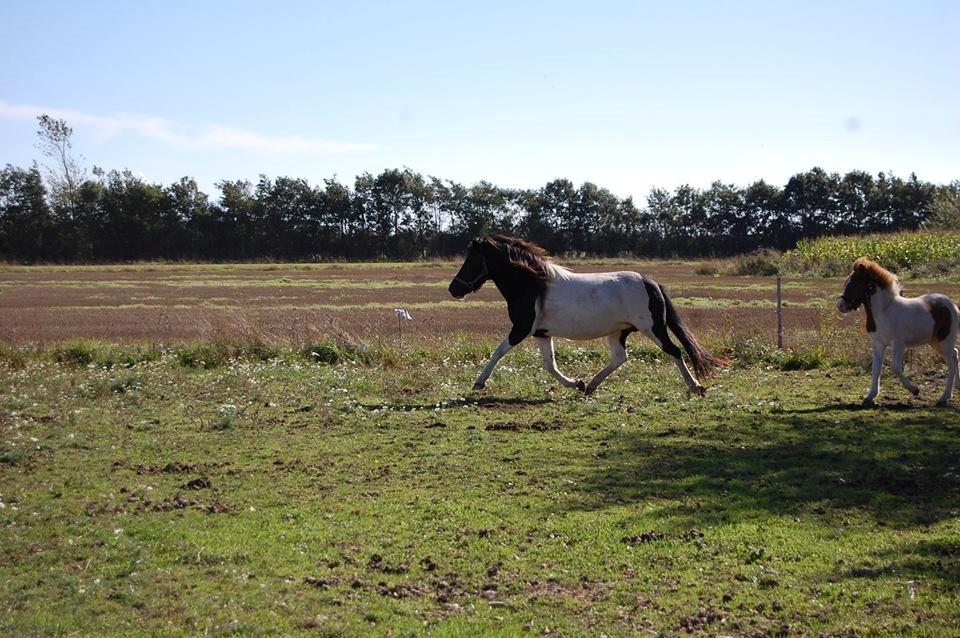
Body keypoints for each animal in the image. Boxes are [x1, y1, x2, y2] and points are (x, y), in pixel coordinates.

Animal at [446, 235, 724, 396]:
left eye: (471, 260)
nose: (453, 289)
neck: (533, 284)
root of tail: (651, 282)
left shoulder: (522, 328)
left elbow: (498, 351)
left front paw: (479, 382)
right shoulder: (540, 333)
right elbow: (550, 365)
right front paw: (576, 383)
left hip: (653, 328)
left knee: (674, 351)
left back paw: (696, 386)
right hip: (618, 332)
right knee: (621, 357)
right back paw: (590, 385)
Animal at [832, 258, 960, 408]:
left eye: (855, 284)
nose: (840, 305)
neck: (884, 311)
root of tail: (952, 304)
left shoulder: (898, 344)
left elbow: (895, 368)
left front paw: (914, 390)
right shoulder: (878, 344)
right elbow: (876, 368)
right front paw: (870, 397)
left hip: (945, 340)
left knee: (951, 362)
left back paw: (944, 397)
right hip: (935, 341)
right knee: (955, 354)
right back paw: (956, 386)